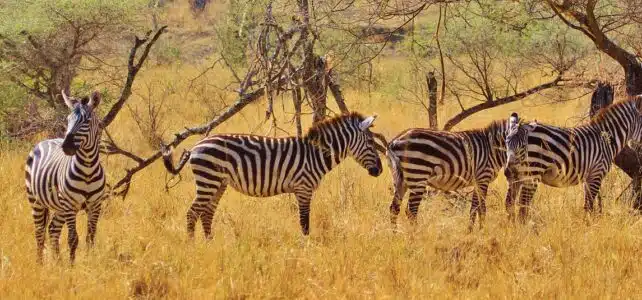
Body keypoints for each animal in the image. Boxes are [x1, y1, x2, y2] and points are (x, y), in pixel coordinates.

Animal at [25, 89, 105, 262]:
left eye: (87, 121)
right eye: (68, 120)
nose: (66, 147)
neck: (88, 169)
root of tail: (46, 140)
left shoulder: (95, 205)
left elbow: (91, 236)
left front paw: (90, 261)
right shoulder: (70, 205)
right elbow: (73, 238)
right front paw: (72, 265)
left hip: (59, 207)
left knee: (53, 229)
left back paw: (57, 261)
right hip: (36, 201)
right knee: (39, 232)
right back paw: (40, 262)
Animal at [161, 112, 380, 239]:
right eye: (371, 143)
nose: (380, 170)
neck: (316, 154)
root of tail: (196, 145)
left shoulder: (302, 189)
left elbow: (304, 222)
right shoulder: (303, 188)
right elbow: (305, 223)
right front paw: (306, 249)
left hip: (218, 183)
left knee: (206, 213)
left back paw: (209, 243)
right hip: (208, 180)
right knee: (192, 213)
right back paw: (192, 246)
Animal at [382, 119, 516, 230]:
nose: (509, 172)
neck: (493, 149)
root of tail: (394, 141)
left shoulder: (478, 181)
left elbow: (474, 208)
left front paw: (472, 231)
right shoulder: (483, 177)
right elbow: (481, 208)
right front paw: (481, 231)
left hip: (400, 179)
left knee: (394, 209)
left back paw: (396, 234)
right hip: (418, 175)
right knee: (412, 211)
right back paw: (415, 236)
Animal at [502, 97, 642, 221]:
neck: (606, 139)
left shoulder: (588, 177)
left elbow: (588, 205)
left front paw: (588, 223)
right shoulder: (596, 173)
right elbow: (588, 205)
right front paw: (587, 226)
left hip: (517, 175)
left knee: (509, 203)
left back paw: (512, 227)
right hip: (532, 173)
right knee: (523, 206)